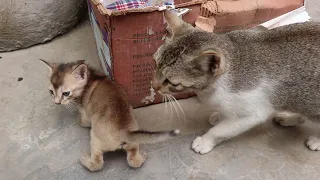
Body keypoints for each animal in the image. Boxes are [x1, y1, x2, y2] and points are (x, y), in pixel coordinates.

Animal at [40, 59, 180, 171]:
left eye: (66, 93)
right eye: (51, 92)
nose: (57, 102)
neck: (90, 78)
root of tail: (123, 130)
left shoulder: (85, 115)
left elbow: (82, 120)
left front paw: (77, 117)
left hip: (95, 139)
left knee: (97, 164)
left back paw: (85, 160)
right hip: (133, 142)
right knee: (133, 161)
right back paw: (142, 157)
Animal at [152, 10, 320, 155]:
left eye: (171, 82)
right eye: (155, 64)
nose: (154, 86)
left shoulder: (252, 113)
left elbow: (220, 131)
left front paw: (205, 141)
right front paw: (220, 116)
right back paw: (289, 117)